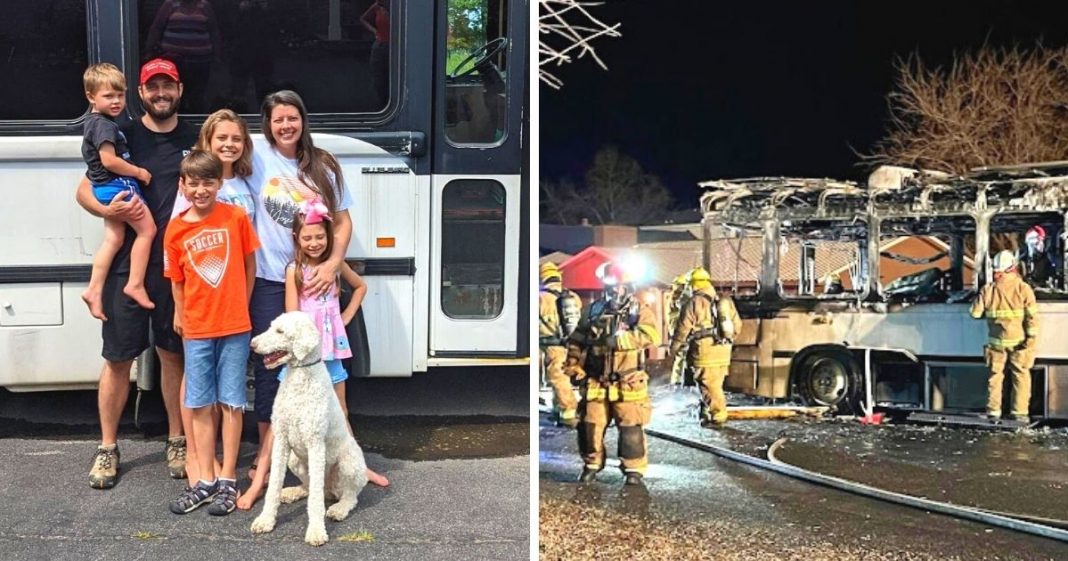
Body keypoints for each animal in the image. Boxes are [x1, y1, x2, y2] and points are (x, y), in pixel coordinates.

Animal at [247, 307, 369, 544]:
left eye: (280, 331)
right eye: (271, 326)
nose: (252, 344)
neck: (299, 376)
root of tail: (331, 490)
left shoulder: (315, 444)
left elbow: (315, 502)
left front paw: (316, 531)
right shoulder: (281, 440)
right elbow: (273, 485)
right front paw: (266, 520)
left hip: (349, 462)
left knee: (348, 496)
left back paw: (338, 509)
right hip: (295, 460)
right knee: (312, 487)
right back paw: (293, 492)